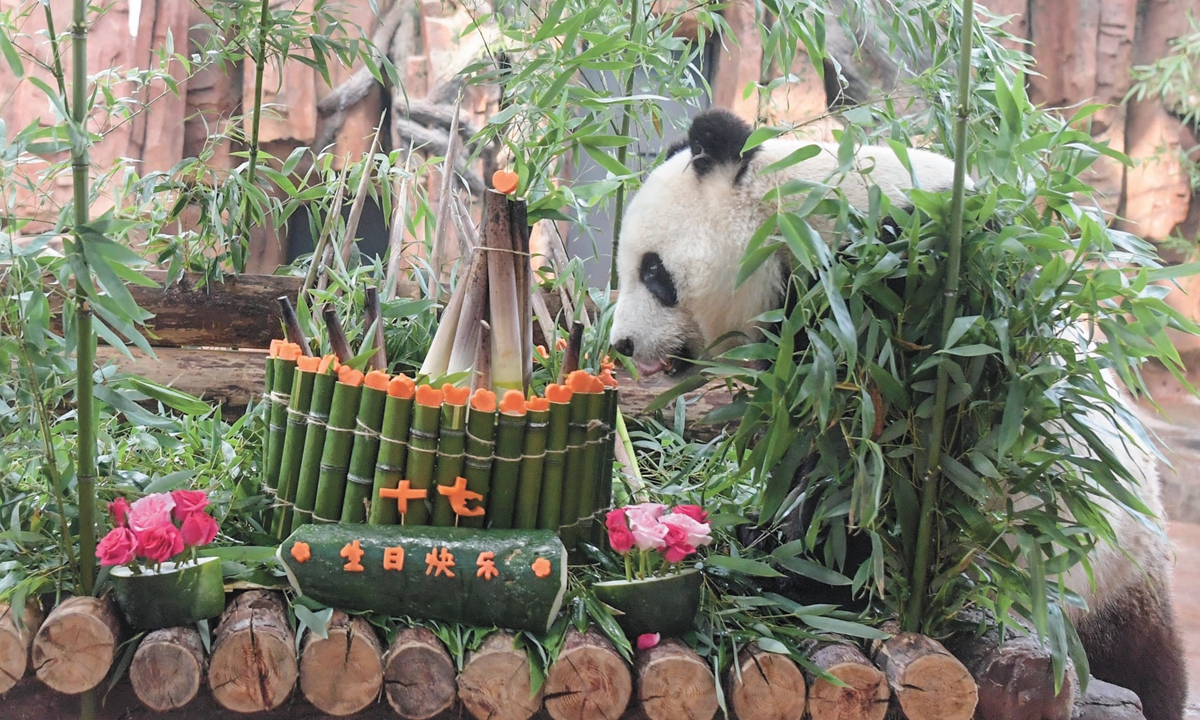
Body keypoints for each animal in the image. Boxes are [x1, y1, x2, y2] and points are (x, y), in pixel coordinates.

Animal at [609, 108, 1190, 720]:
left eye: (654, 273)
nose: (622, 343)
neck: (797, 221)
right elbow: (804, 442)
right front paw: (767, 533)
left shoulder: (911, 293)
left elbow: (888, 462)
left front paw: (800, 566)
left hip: (1081, 554)